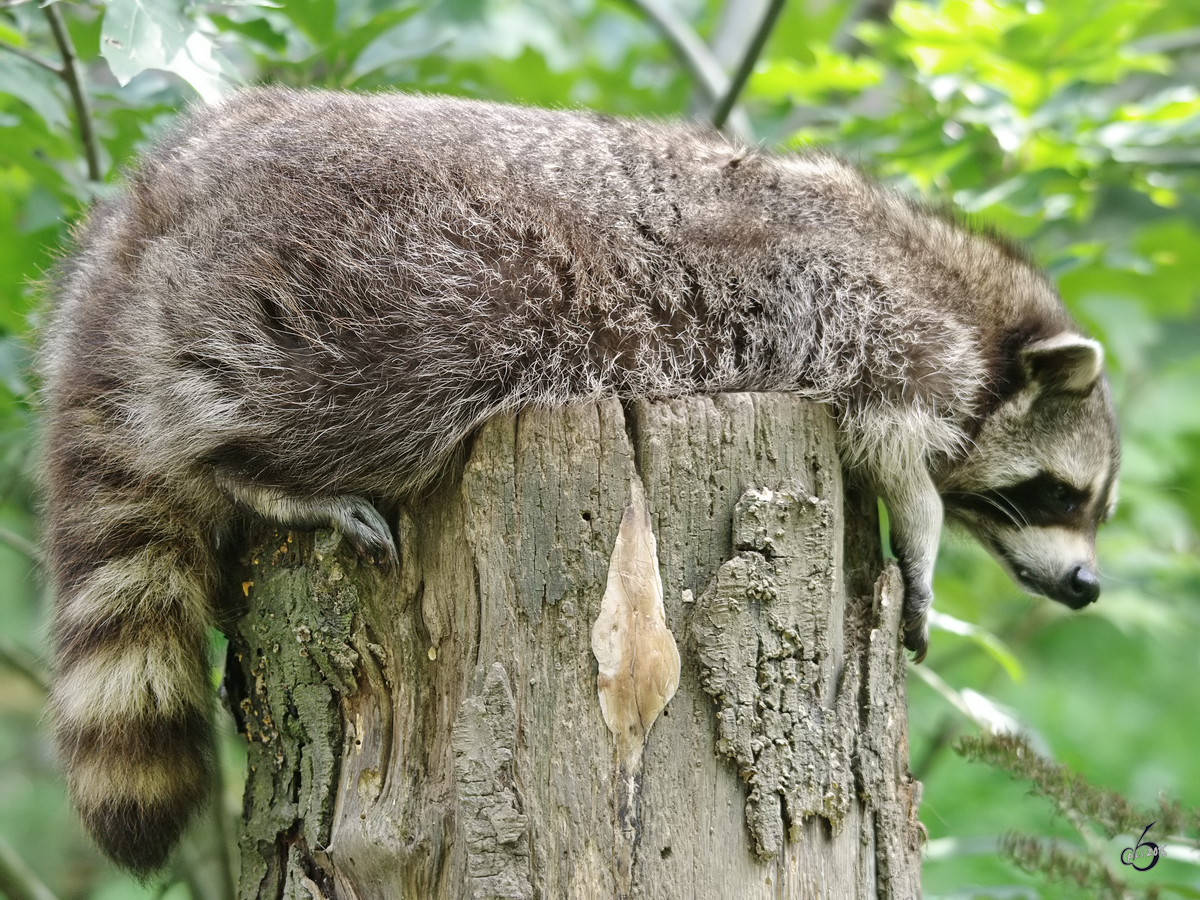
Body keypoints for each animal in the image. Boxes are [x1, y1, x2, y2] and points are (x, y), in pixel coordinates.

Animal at [39, 90, 1123, 873]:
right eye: (1060, 496)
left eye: (1092, 507)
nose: (1086, 586)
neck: (970, 298)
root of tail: (137, 230)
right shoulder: (877, 326)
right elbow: (898, 451)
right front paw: (923, 533)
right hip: (385, 301)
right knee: (367, 397)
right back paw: (258, 472)